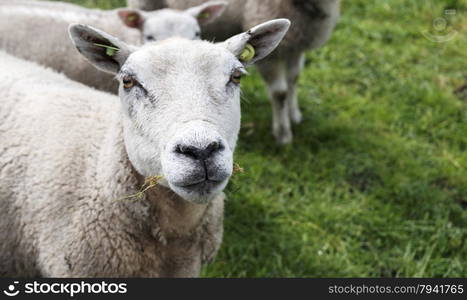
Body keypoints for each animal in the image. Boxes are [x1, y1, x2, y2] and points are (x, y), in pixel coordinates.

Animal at [130, 0, 342, 144]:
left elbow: (294, 79)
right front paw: (283, 134)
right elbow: (280, 93)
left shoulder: (295, 47)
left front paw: (294, 114)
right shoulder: (271, 55)